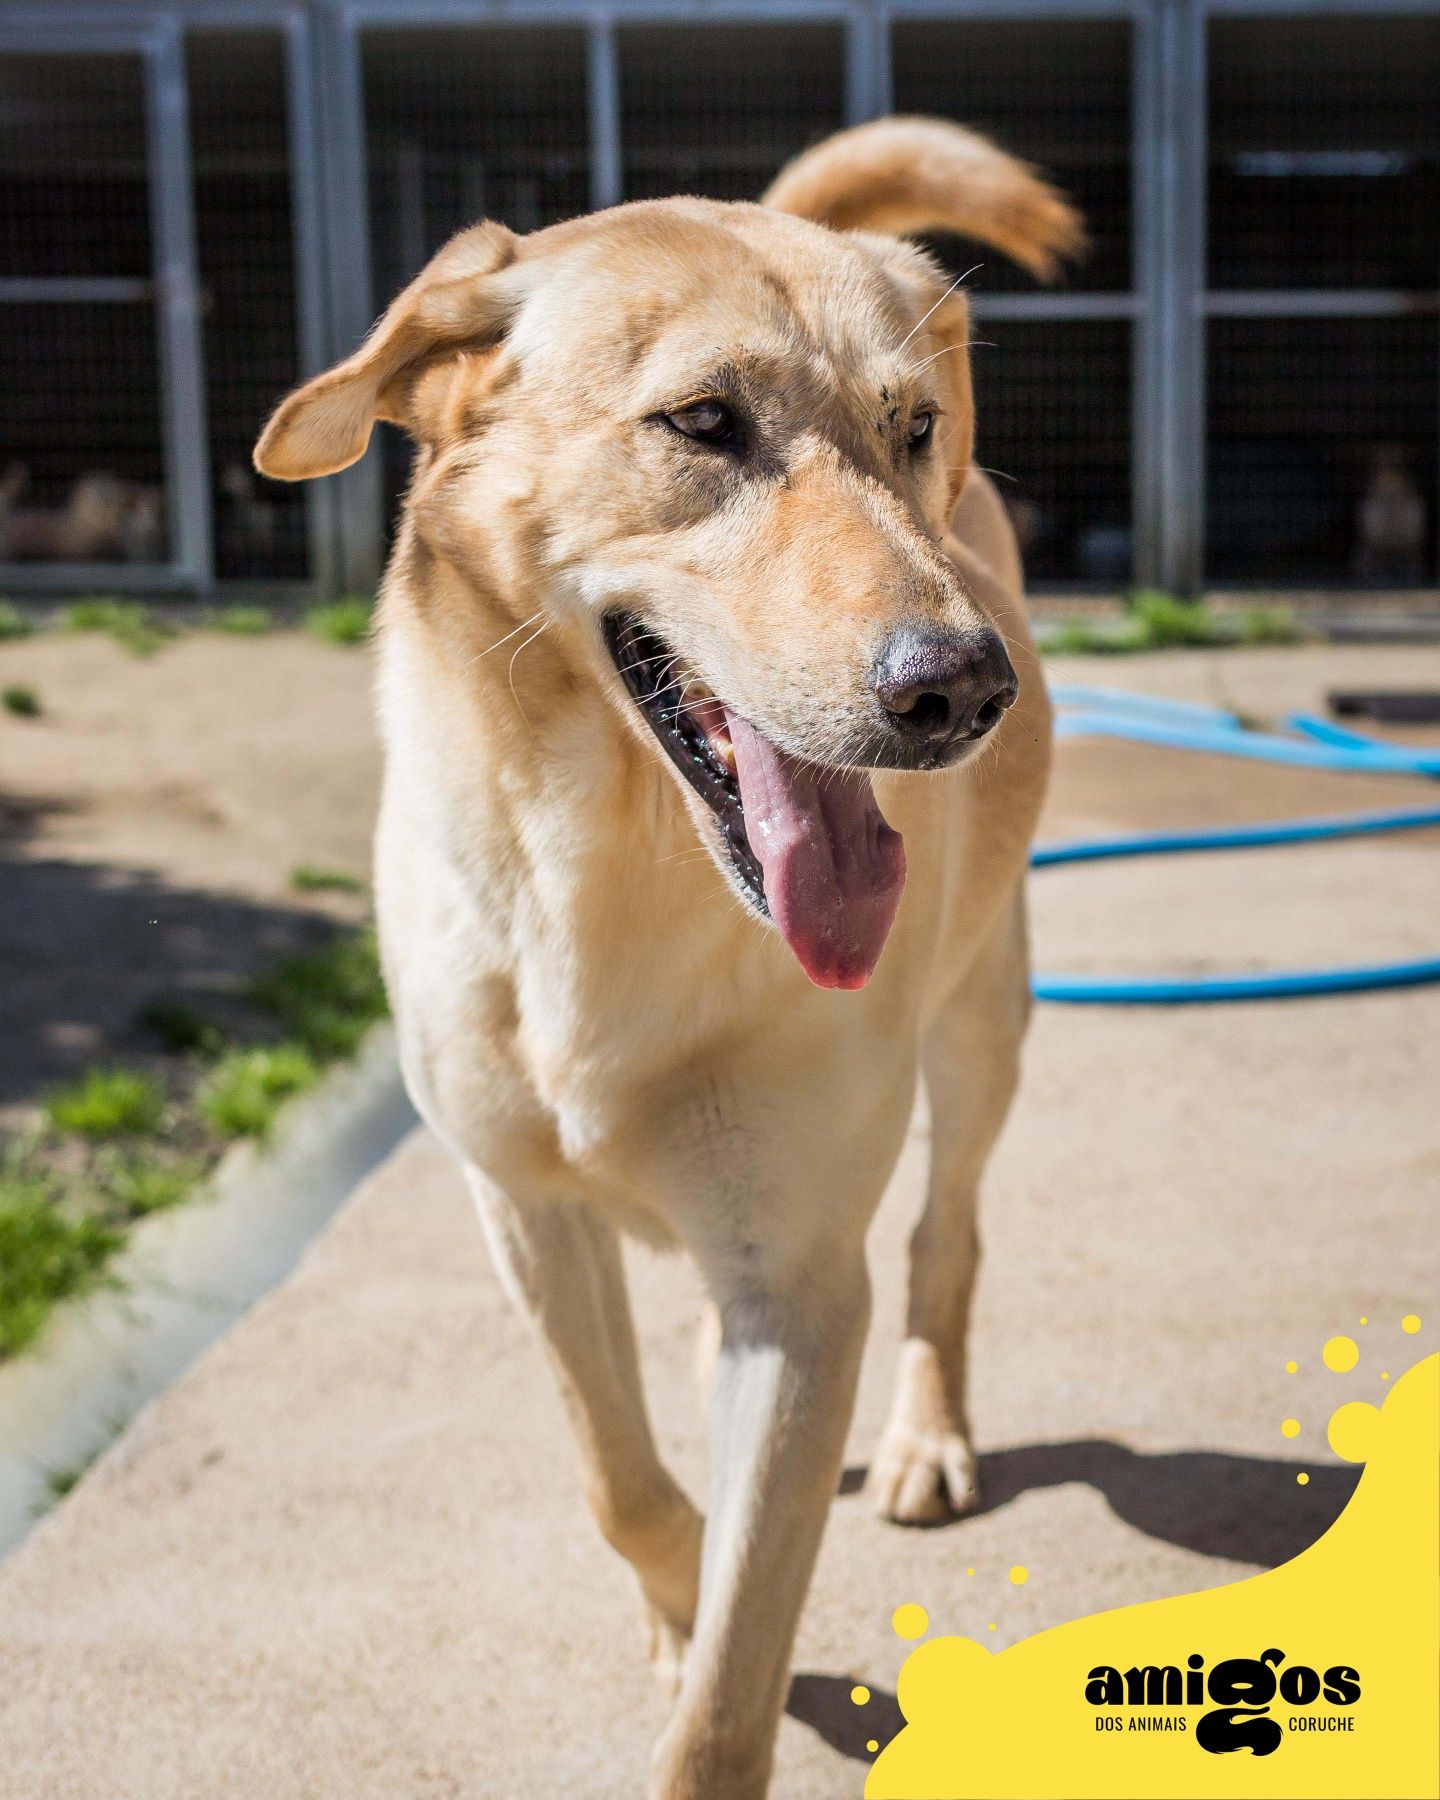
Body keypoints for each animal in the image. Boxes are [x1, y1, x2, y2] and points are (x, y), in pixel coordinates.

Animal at [255, 119, 1080, 1792]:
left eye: (913, 428)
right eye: (703, 422)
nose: (968, 690)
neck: (608, 872)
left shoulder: (806, 1290)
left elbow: (727, 1695)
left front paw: (721, 1640)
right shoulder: (525, 1218)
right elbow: (622, 1483)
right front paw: (681, 1586)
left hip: (983, 1028)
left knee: (944, 1241)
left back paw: (924, 1433)